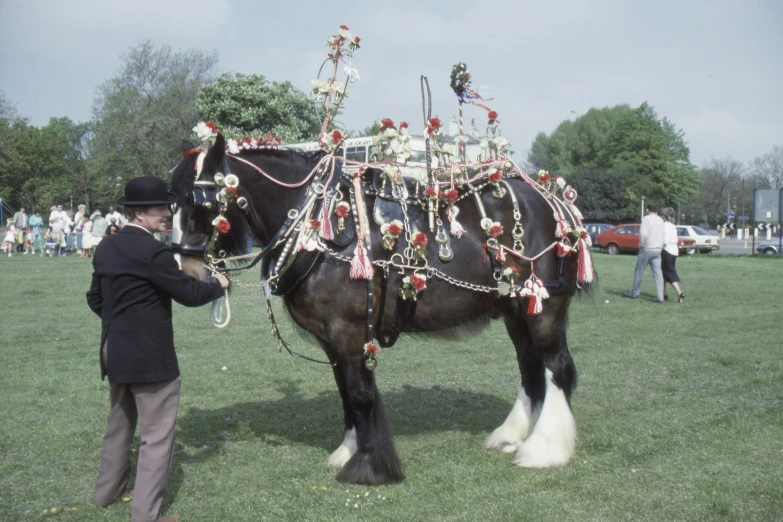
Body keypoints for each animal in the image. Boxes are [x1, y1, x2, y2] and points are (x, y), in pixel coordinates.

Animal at [167, 27, 596, 484]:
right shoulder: (332, 340)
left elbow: (359, 393)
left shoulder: (348, 330)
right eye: (170, 200)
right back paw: (512, 436)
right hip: (517, 309)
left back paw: (544, 448)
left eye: (200, 201)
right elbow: (346, 393)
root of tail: (554, 200)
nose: (185, 269)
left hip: (544, 308)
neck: (318, 222)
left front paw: (371, 465)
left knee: (556, 367)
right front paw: (349, 450)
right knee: (530, 367)